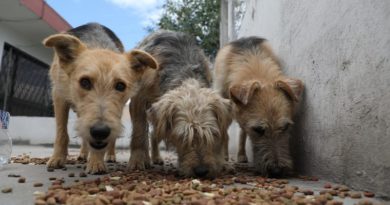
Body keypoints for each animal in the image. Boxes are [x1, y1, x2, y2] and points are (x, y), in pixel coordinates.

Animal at [43, 22, 157, 175]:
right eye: (85, 82)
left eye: (120, 86)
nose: (100, 132)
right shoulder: (59, 96)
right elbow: (62, 132)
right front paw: (57, 158)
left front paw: (96, 161)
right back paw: (83, 154)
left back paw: (109, 155)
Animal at [128, 30, 232, 178]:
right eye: (182, 136)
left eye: (213, 134)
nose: (201, 171)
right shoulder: (138, 99)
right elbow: (139, 131)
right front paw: (138, 159)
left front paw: (222, 162)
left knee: (154, 134)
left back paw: (156, 157)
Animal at [215, 36, 304, 178]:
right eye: (258, 130)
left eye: (285, 127)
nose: (277, 172)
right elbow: (224, 133)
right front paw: (224, 158)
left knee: (242, 131)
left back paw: (241, 155)